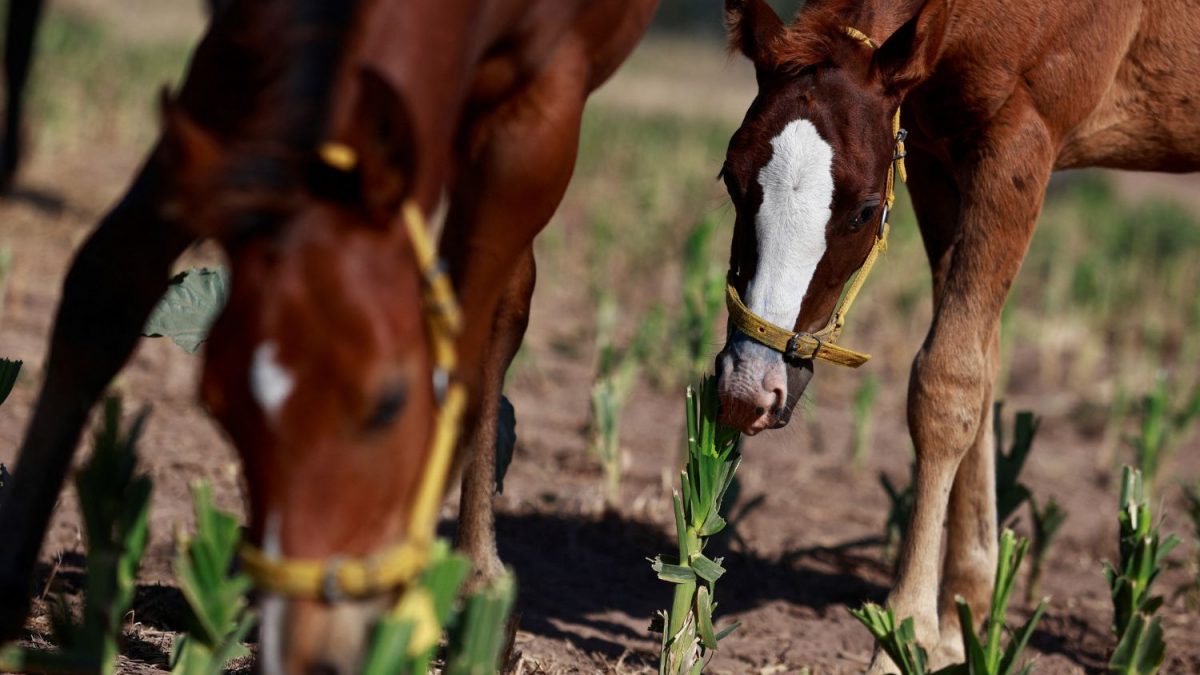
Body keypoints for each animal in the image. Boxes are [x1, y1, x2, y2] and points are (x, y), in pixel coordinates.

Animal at [0, 0, 657, 667]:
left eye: (389, 403)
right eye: (216, 405)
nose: (310, 653)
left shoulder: (542, 110)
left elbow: (467, 357)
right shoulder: (233, 55)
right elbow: (103, 287)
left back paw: (479, 584)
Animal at [715, 0, 1200, 667]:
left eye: (864, 211)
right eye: (730, 179)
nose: (748, 388)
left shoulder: (1021, 143)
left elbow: (947, 381)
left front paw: (906, 631)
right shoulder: (930, 156)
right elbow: (980, 363)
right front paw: (961, 621)